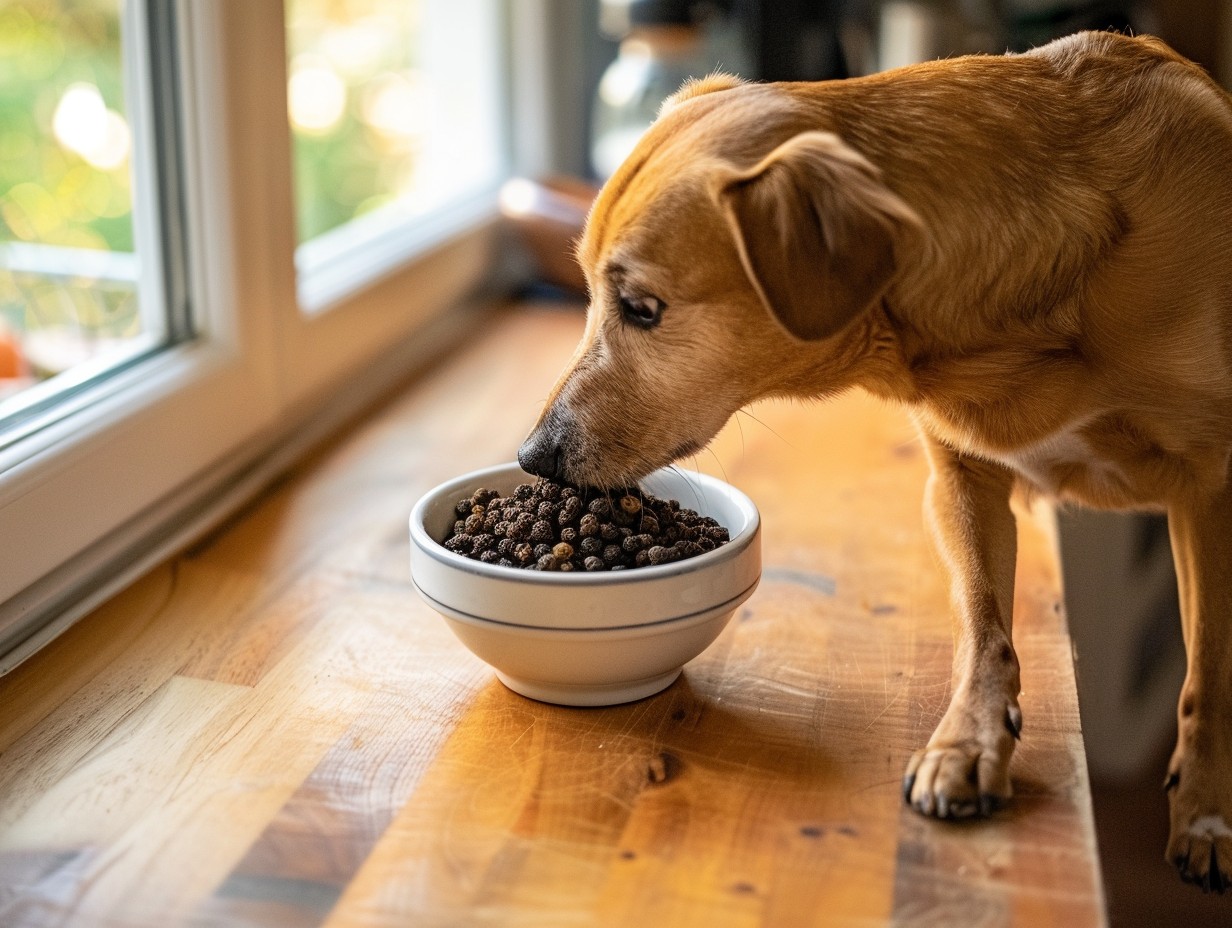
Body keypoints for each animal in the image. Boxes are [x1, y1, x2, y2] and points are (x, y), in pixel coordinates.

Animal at [514, 32, 1232, 892]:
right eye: (589, 291)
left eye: (642, 309)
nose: (533, 456)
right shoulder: (962, 480)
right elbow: (983, 623)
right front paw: (969, 737)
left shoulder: (1214, 491)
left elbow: (1210, 670)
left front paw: (1206, 809)